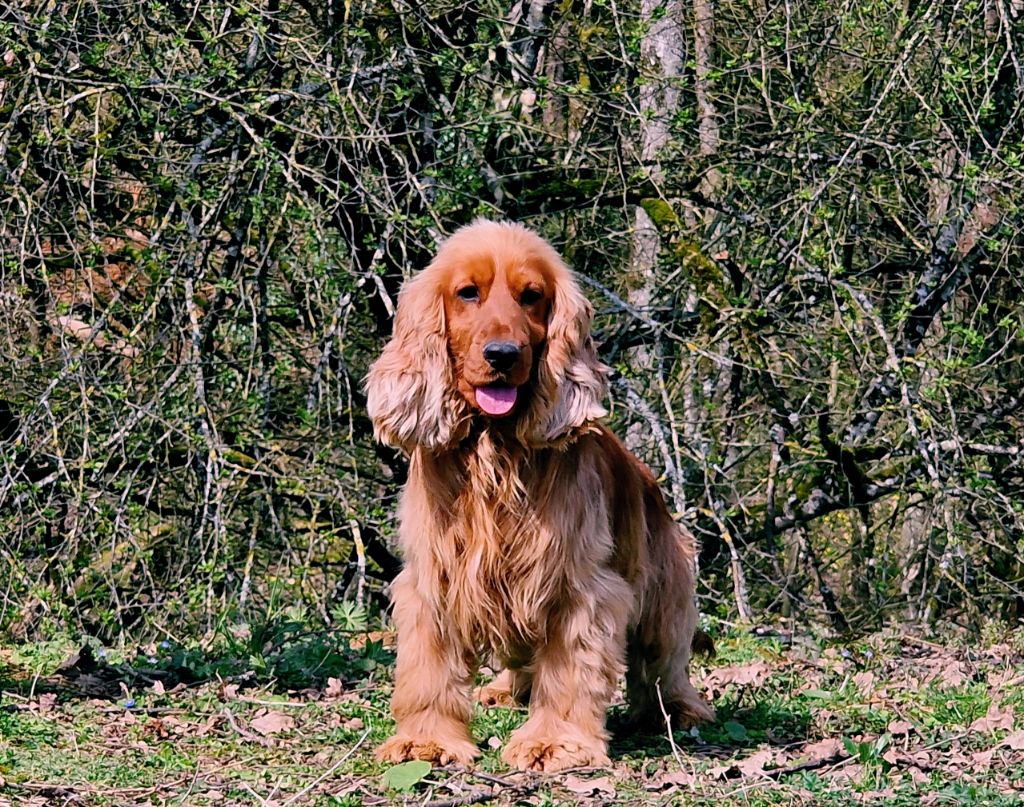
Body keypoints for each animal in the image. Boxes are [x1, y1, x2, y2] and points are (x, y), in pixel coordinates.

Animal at [366, 219, 712, 770]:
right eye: (467, 293)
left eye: (532, 296)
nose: (502, 355)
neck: (496, 447)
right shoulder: (435, 577)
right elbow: (428, 668)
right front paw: (427, 740)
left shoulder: (578, 586)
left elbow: (570, 670)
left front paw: (555, 742)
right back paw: (505, 690)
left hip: (665, 594)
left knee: (664, 666)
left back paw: (679, 710)